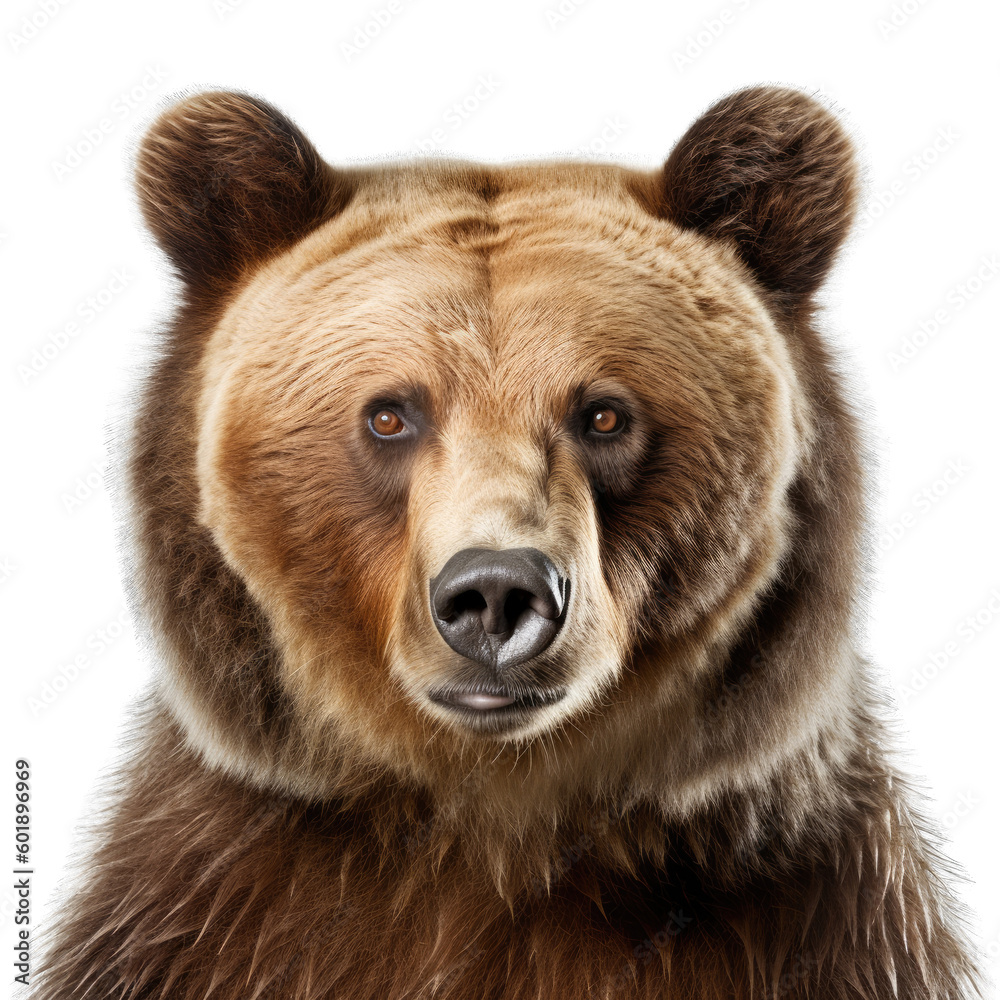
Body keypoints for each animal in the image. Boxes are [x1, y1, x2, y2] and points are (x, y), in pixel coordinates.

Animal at [35, 86, 981, 999]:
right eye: (390, 414)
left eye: (604, 414)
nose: (495, 593)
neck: (495, 832)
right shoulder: (207, 914)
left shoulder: (819, 922)